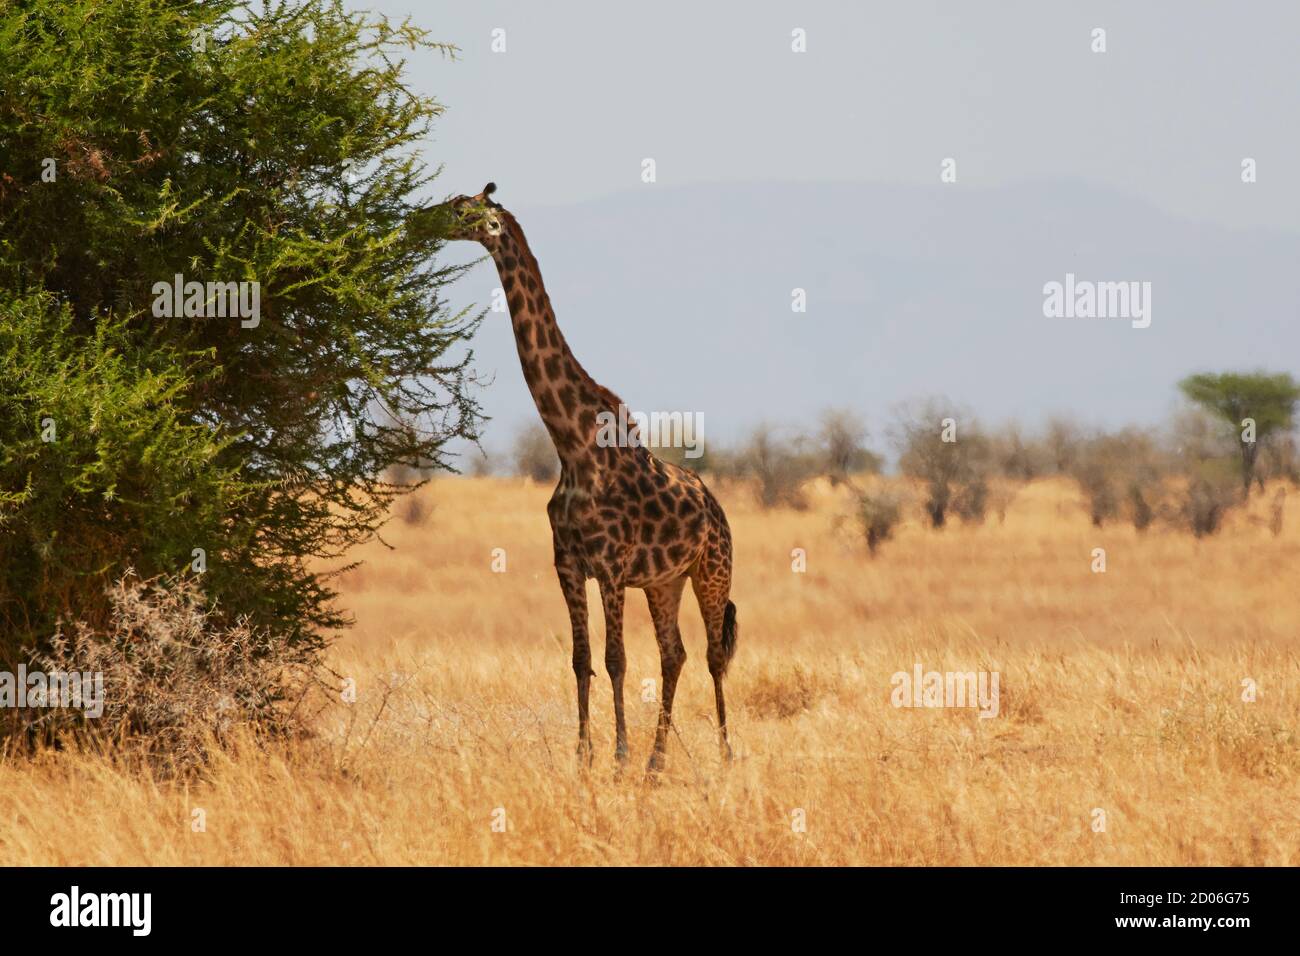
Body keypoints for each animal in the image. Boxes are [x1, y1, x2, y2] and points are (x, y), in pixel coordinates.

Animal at [444, 183, 738, 775]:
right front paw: (584, 756)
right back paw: (657, 762)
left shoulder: (611, 564)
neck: (573, 446)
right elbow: (582, 660)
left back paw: (722, 753)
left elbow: (616, 657)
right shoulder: (568, 562)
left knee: (715, 653)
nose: (429, 220)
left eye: (463, 209)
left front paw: (618, 755)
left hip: (712, 570)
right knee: (675, 654)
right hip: (665, 582)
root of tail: (716, 507)